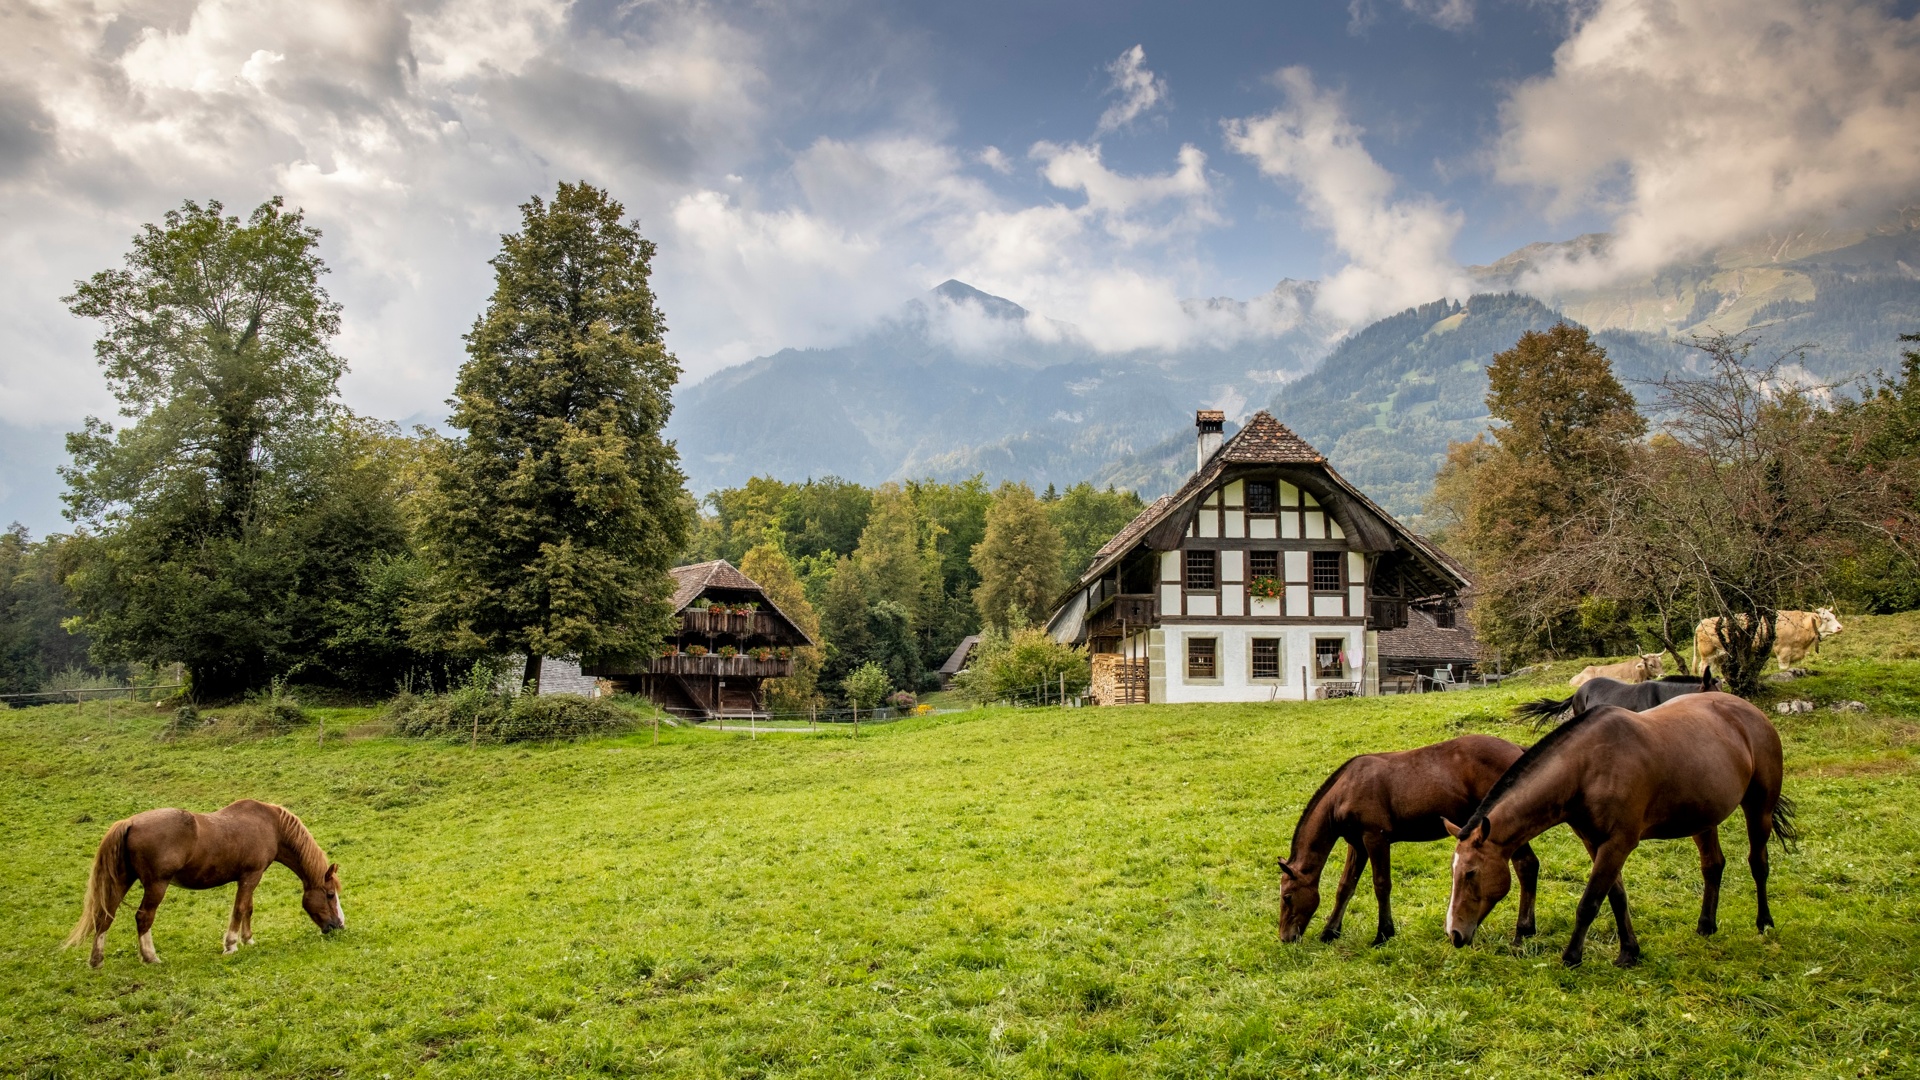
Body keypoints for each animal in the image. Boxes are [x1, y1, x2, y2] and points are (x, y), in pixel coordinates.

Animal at [63, 795, 347, 960]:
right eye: (330, 895)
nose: (338, 926)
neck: (272, 826)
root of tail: (130, 822)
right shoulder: (250, 876)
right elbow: (240, 908)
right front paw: (231, 945)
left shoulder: (250, 878)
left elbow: (248, 908)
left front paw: (248, 939)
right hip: (156, 885)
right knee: (143, 917)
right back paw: (150, 957)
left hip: (122, 880)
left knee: (105, 915)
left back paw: (96, 960)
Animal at [1274, 730, 1543, 941]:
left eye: (1287, 896)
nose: (1285, 937)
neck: (1345, 789)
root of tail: (1519, 750)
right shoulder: (1357, 845)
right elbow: (1345, 886)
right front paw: (1330, 932)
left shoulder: (1376, 839)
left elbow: (1381, 884)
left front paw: (1383, 933)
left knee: (1527, 866)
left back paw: (1523, 930)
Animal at [1443, 691, 1797, 960]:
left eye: (1470, 873)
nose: (1454, 933)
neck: (1587, 768)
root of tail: (1751, 711)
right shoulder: (1594, 842)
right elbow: (1616, 897)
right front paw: (1629, 952)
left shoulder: (1618, 843)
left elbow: (1590, 902)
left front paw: (1572, 957)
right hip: (1703, 818)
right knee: (1713, 866)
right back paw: (1706, 925)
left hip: (1759, 809)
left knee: (1758, 863)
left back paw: (1764, 922)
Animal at [1697, 607, 1843, 672]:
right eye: (1826, 619)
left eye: (1834, 616)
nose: (1840, 627)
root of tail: (1702, 622)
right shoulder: (1783, 652)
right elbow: (1784, 668)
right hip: (1708, 655)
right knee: (1703, 667)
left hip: (1718, 657)